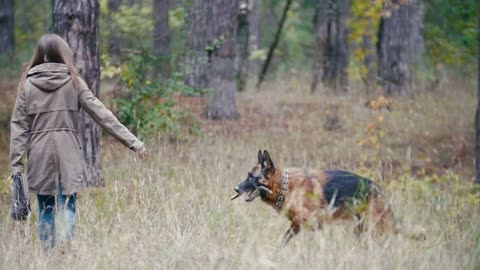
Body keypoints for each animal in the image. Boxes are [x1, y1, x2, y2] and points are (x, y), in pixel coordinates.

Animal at [231, 151, 396, 246]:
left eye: (251, 176)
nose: (236, 188)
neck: (286, 186)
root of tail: (378, 189)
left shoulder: (308, 225)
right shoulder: (296, 226)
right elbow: (281, 242)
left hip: (371, 228)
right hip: (360, 229)